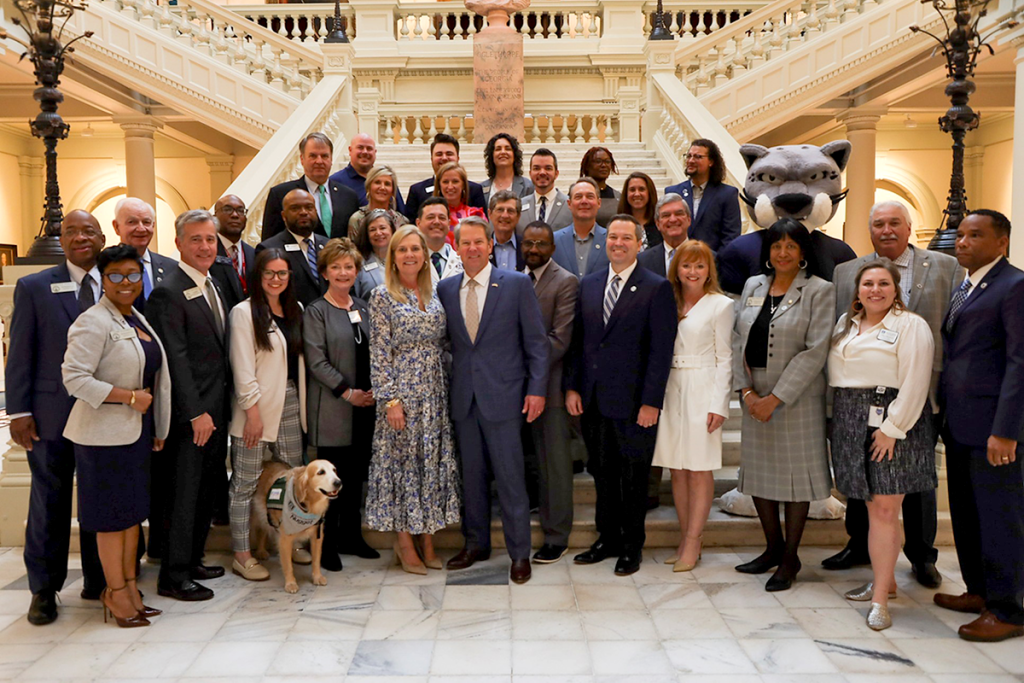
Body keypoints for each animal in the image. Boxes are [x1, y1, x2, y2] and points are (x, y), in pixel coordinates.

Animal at [251, 458, 344, 593]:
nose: (338, 482)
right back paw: (261, 551)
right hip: (258, 513)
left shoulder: (317, 535)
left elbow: (316, 560)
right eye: (321, 472)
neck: (308, 505)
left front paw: (317, 577)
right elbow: (288, 565)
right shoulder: (284, 538)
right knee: (260, 530)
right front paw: (290, 583)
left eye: (334, 470)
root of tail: (265, 462)